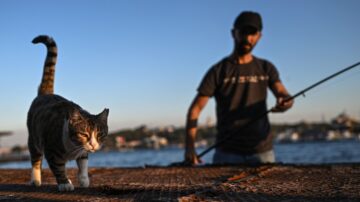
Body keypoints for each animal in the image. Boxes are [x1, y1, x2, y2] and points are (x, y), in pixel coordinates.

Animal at [27, 35, 109, 192]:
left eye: (100, 134)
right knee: (36, 159)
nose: (94, 145)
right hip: (34, 138)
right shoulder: (51, 150)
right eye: (84, 134)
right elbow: (58, 168)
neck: (73, 146)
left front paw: (83, 179)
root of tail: (45, 94)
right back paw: (35, 179)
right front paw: (65, 183)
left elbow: (83, 163)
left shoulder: (82, 151)